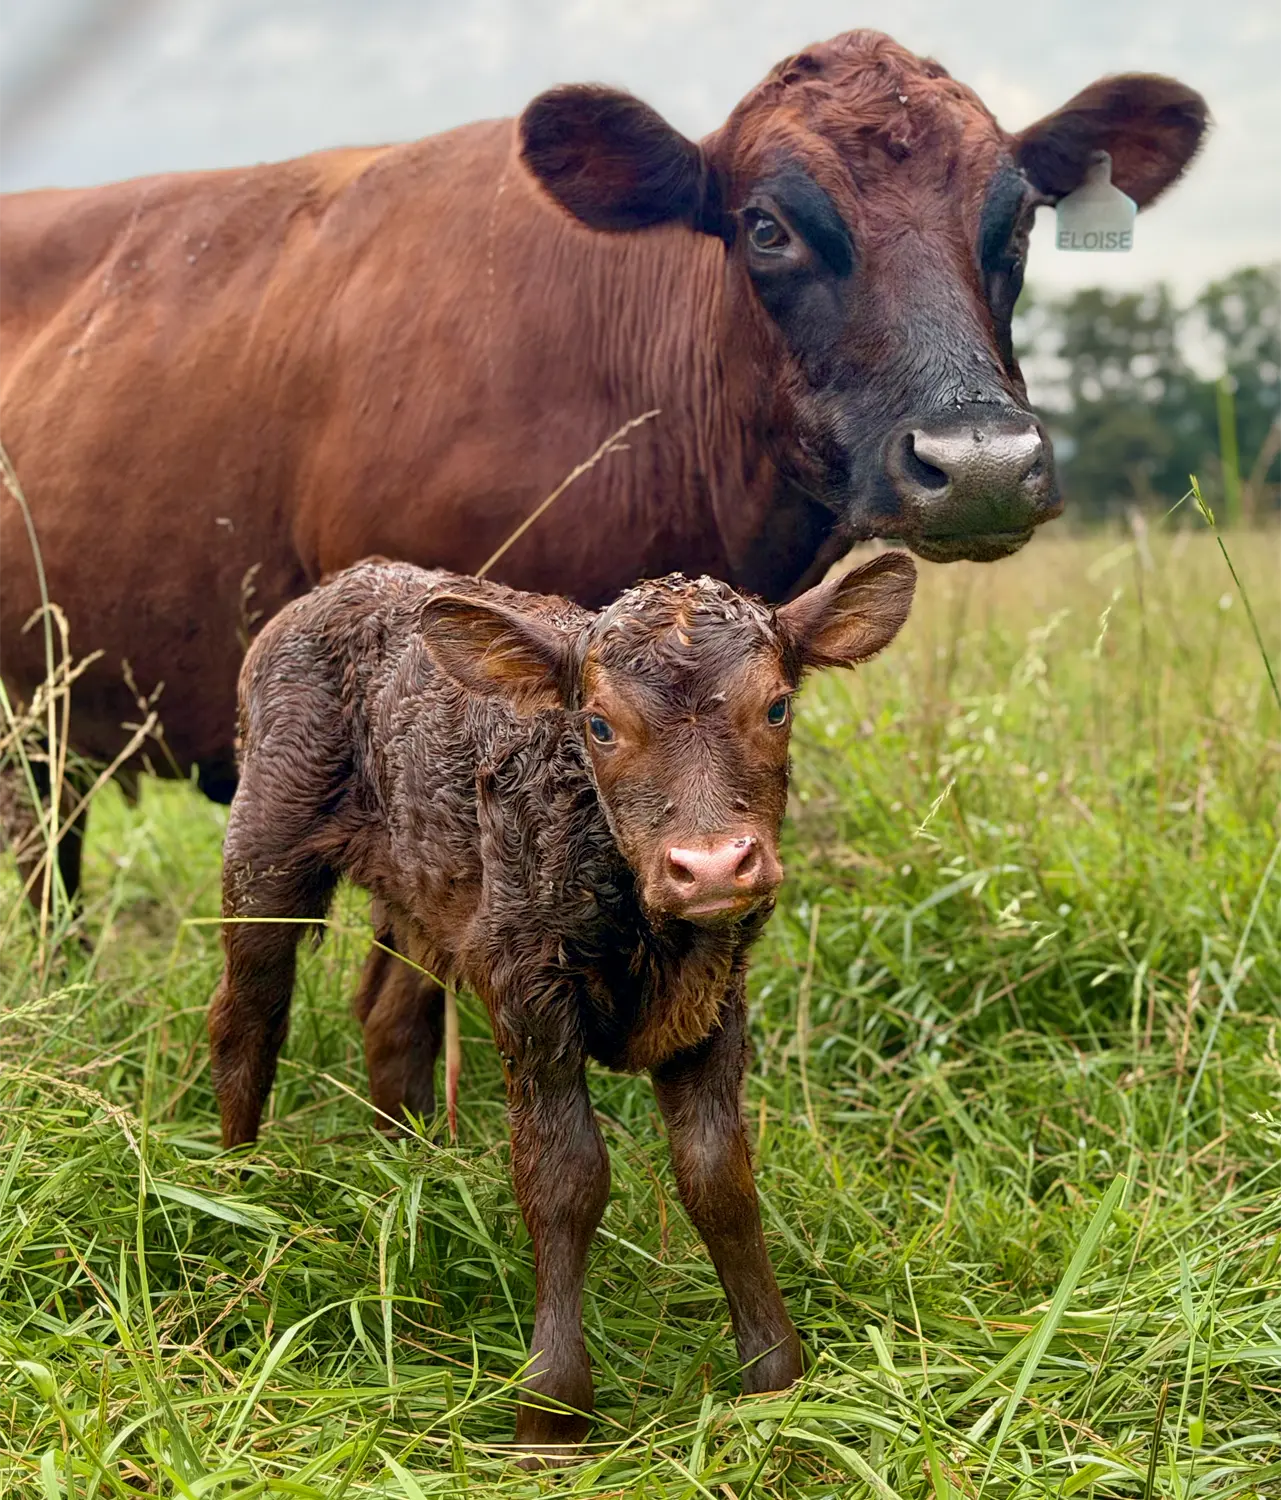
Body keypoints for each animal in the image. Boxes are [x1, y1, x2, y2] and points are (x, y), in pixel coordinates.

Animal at [209, 551, 917, 1461]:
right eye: (600, 726)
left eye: (776, 706)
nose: (711, 867)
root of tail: (348, 580)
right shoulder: (528, 992)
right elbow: (563, 1177)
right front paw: (551, 1413)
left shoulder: (718, 999)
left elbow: (718, 1175)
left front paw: (775, 1375)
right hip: (266, 841)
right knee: (249, 1016)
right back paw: (238, 1191)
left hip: (429, 893)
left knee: (391, 1019)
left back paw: (409, 1166)